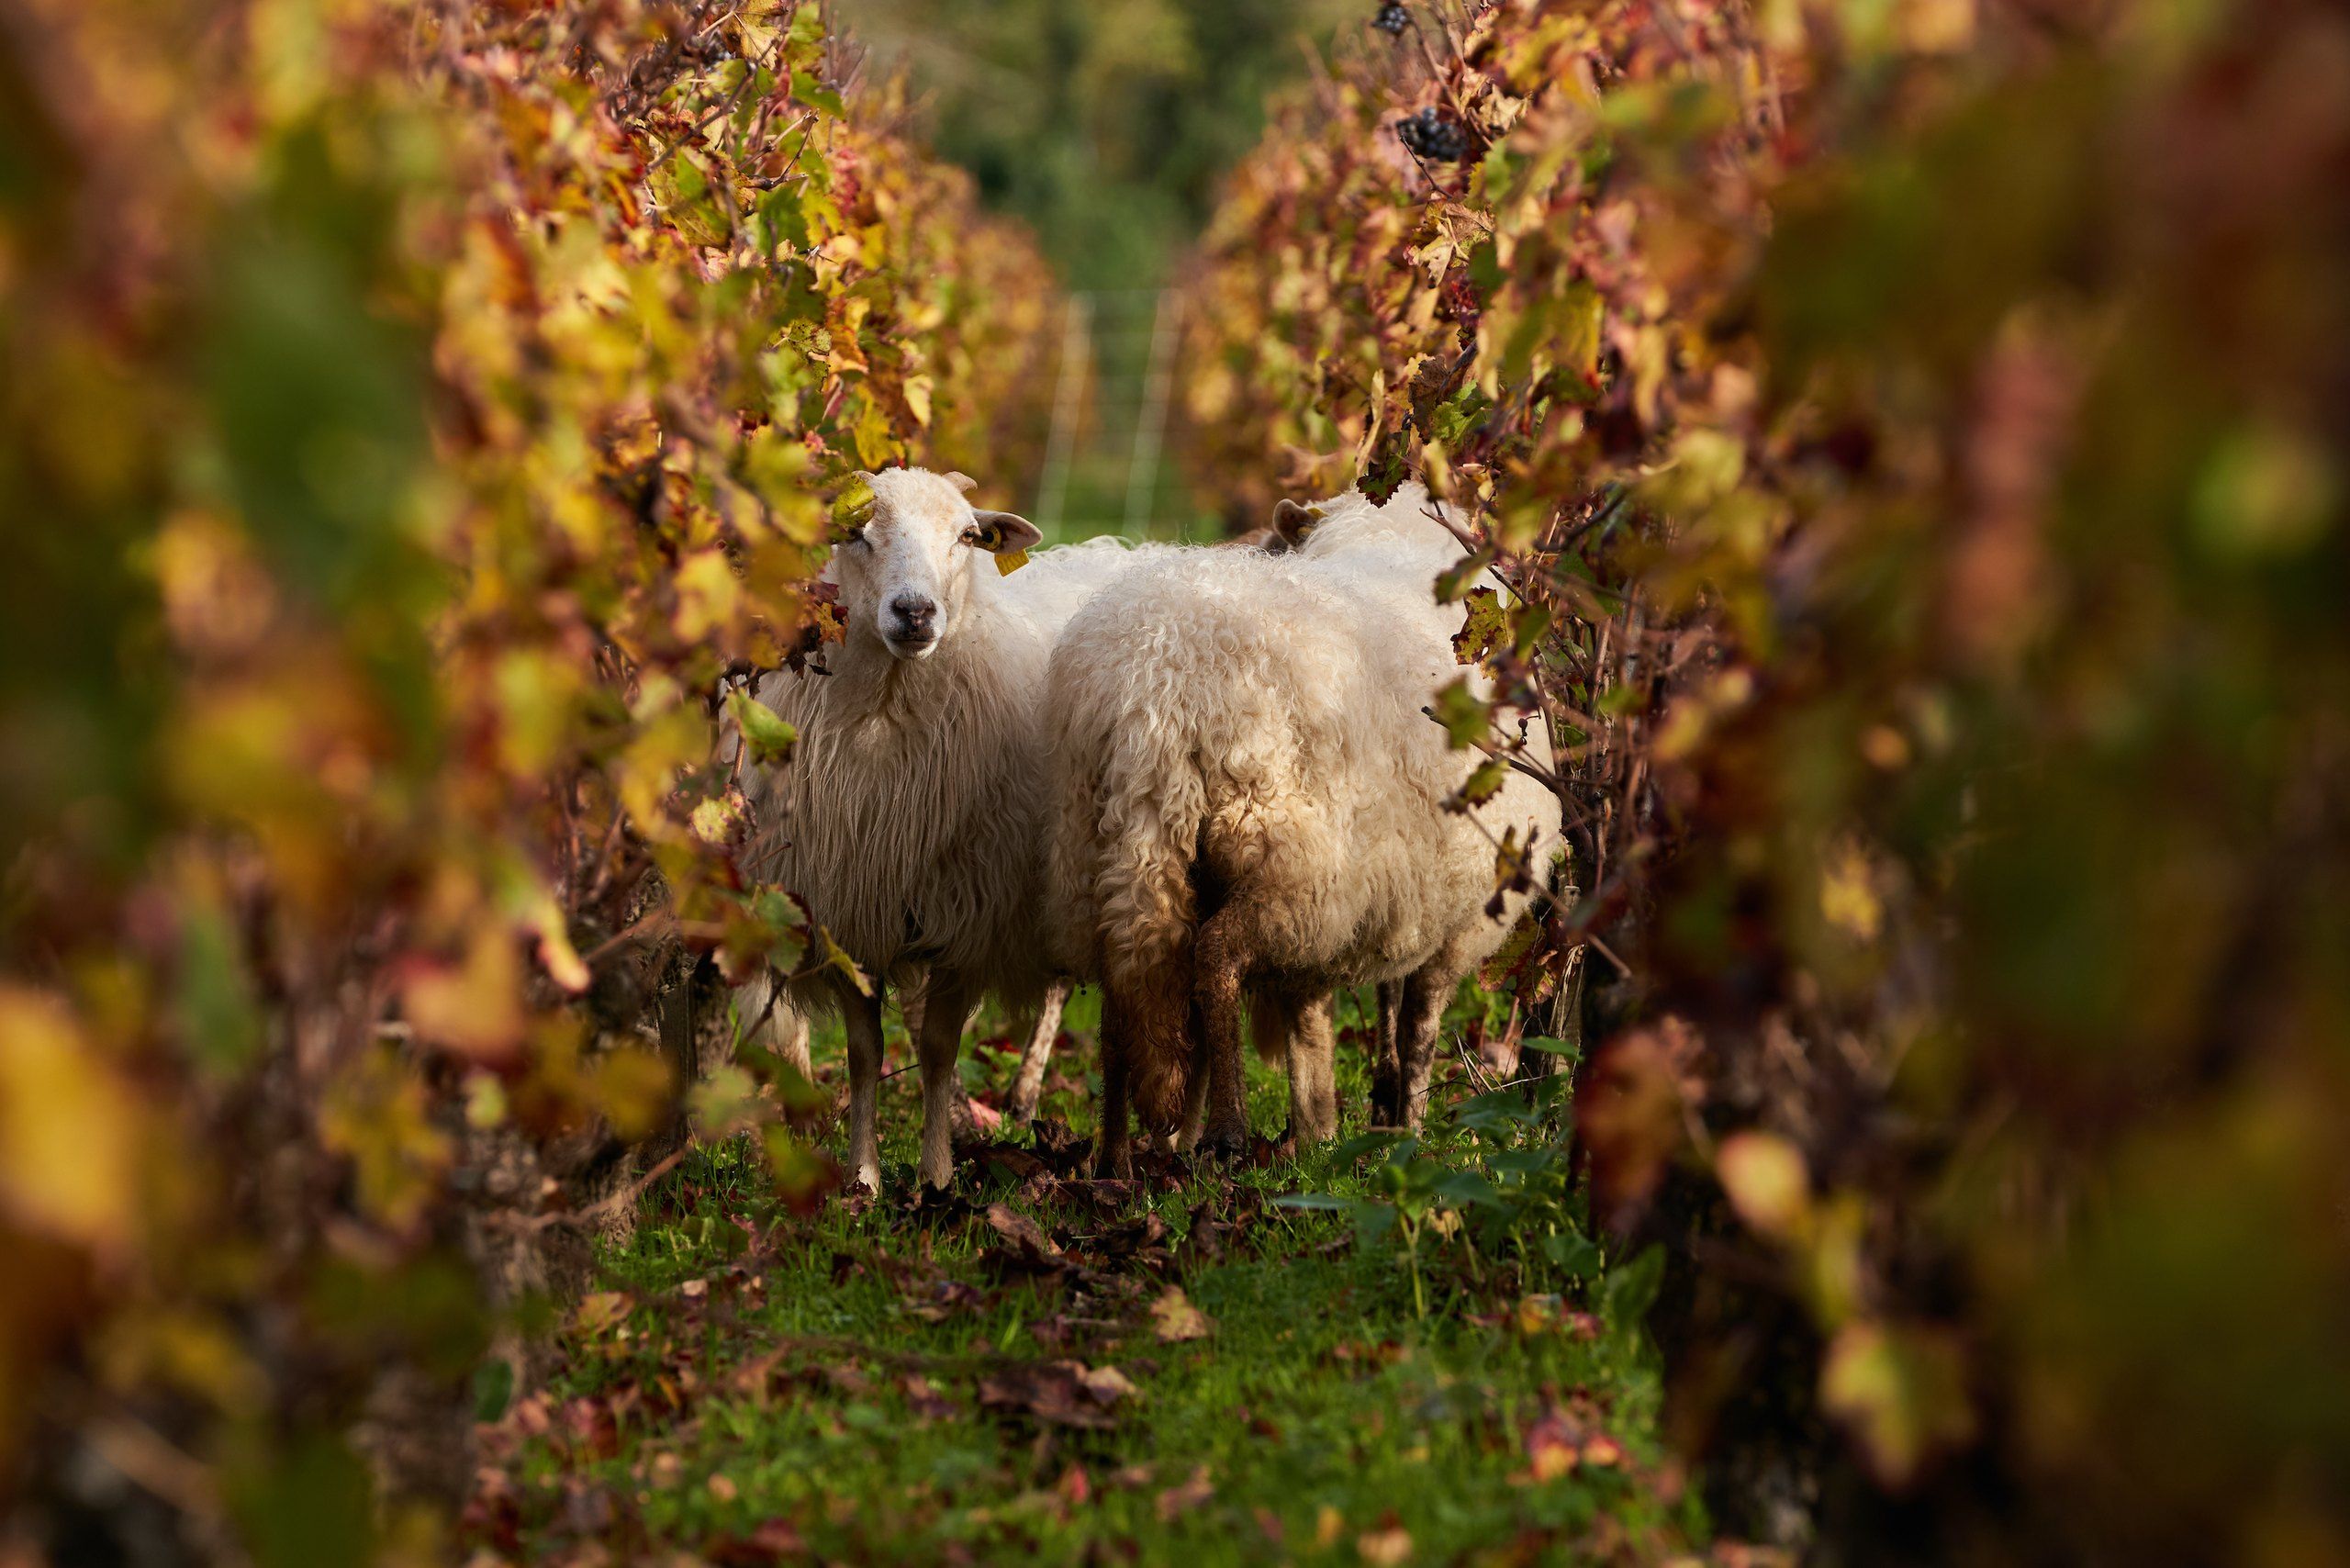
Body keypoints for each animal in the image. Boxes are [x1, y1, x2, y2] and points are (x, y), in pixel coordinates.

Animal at [743, 467, 1167, 1191]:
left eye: (968, 536)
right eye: (854, 533)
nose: (915, 613)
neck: (889, 715)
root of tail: (1127, 551)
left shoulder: (967, 916)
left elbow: (939, 1050)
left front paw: (937, 1175)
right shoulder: (851, 912)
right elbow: (864, 1052)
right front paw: (863, 1179)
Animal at [1047, 483, 1563, 1175]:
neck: (1391, 543)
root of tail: (1156, 688)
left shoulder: (1369, 901)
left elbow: (1316, 1018)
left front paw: (1324, 1131)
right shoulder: (1454, 914)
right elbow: (1417, 1024)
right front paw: (1406, 1131)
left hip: (1104, 850)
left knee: (1125, 990)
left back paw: (1115, 1157)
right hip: (1282, 855)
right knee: (1216, 958)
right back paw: (1225, 1131)